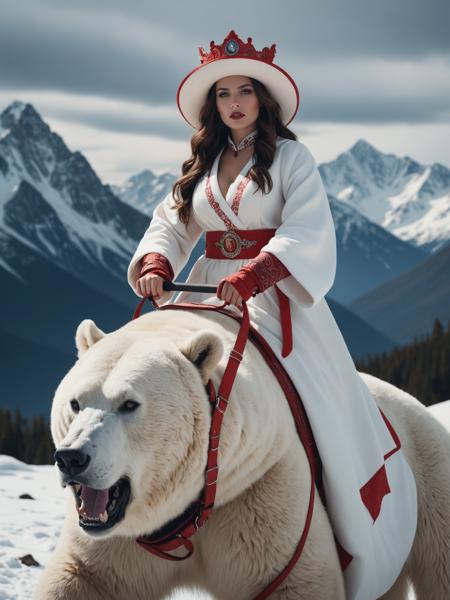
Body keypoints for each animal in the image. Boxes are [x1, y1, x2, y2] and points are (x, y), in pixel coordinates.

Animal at [34, 310, 450, 600]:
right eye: (75, 402)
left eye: (129, 404)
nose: (72, 458)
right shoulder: (117, 543)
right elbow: (78, 580)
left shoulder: (257, 489)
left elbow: (291, 582)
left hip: (428, 481)